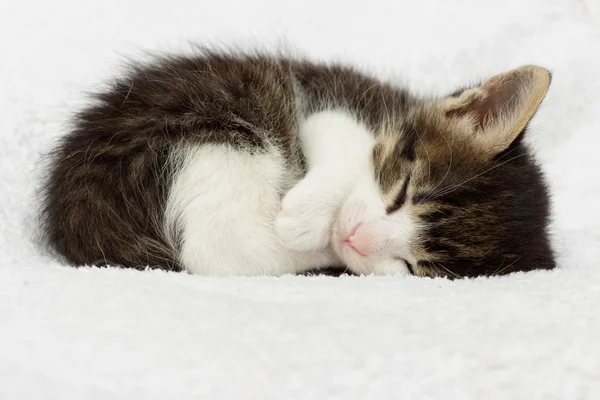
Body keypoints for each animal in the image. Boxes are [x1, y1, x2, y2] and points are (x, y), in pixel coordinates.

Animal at [41, 50, 556, 278]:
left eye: (414, 267)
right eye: (403, 192)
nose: (355, 238)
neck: (392, 111)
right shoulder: (330, 106)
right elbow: (340, 143)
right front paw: (310, 218)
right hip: (217, 132)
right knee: (216, 247)